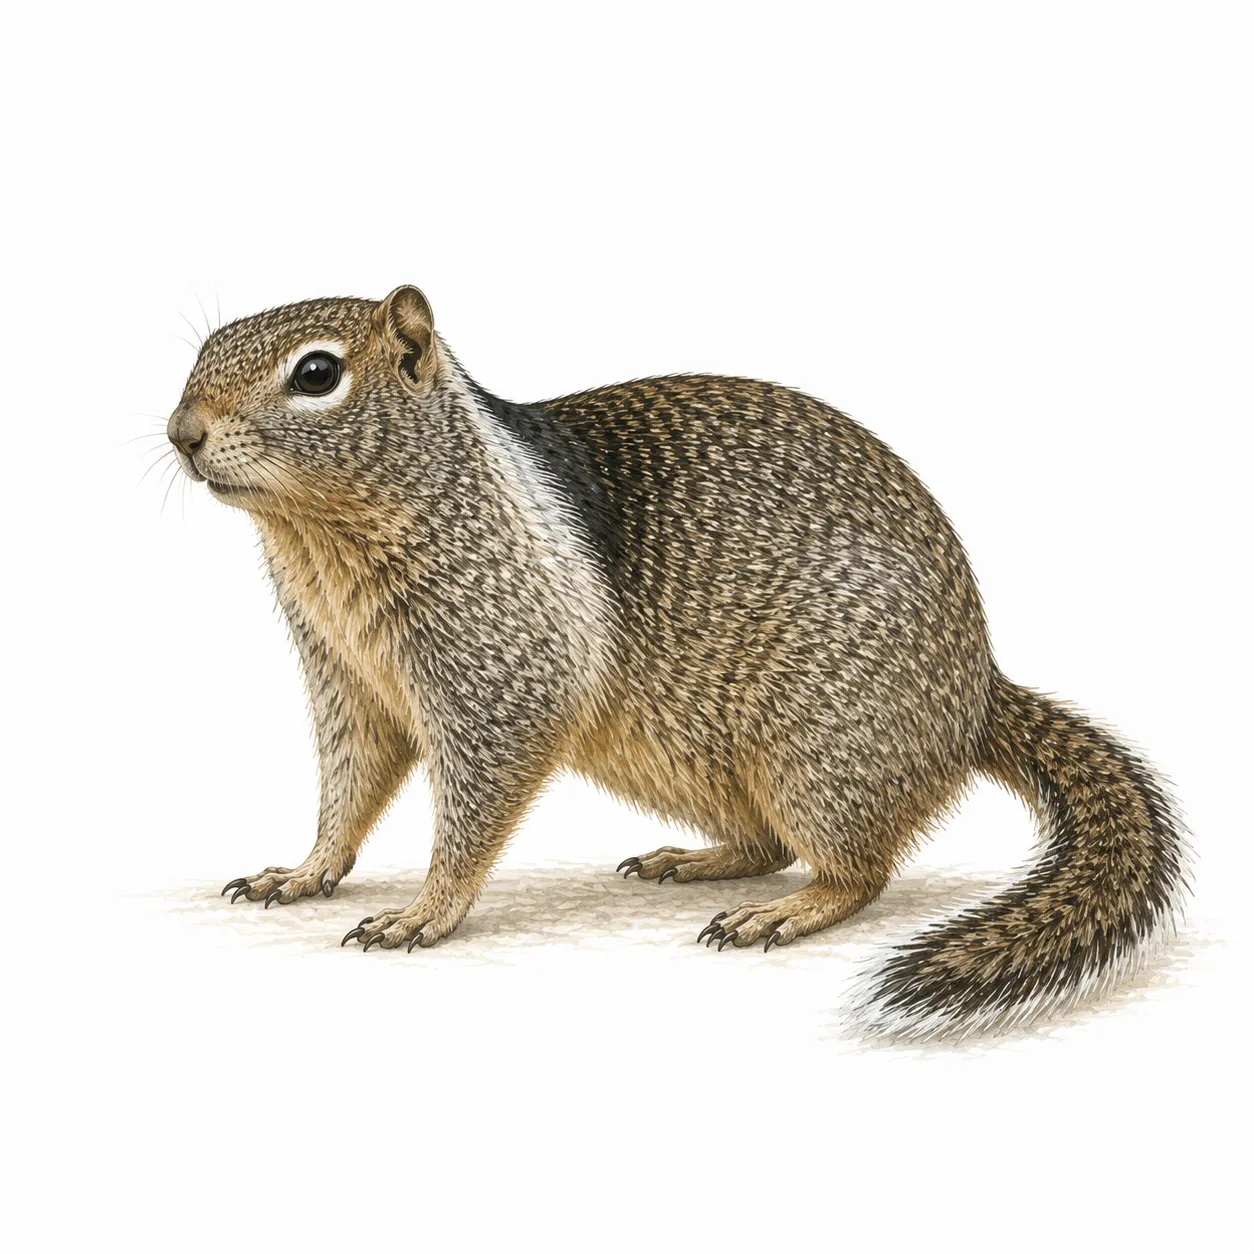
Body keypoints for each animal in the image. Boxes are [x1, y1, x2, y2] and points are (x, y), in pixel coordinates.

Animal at [167, 285, 1190, 1040]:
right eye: (202, 349)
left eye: (317, 373)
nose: (182, 432)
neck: (323, 541)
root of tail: (978, 695)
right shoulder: (343, 673)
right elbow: (350, 782)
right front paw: (302, 872)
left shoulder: (499, 658)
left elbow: (479, 786)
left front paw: (424, 910)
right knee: (768, 842)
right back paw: (694, 861)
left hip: (819, 744)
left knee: (855, 871)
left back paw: (783, 912)